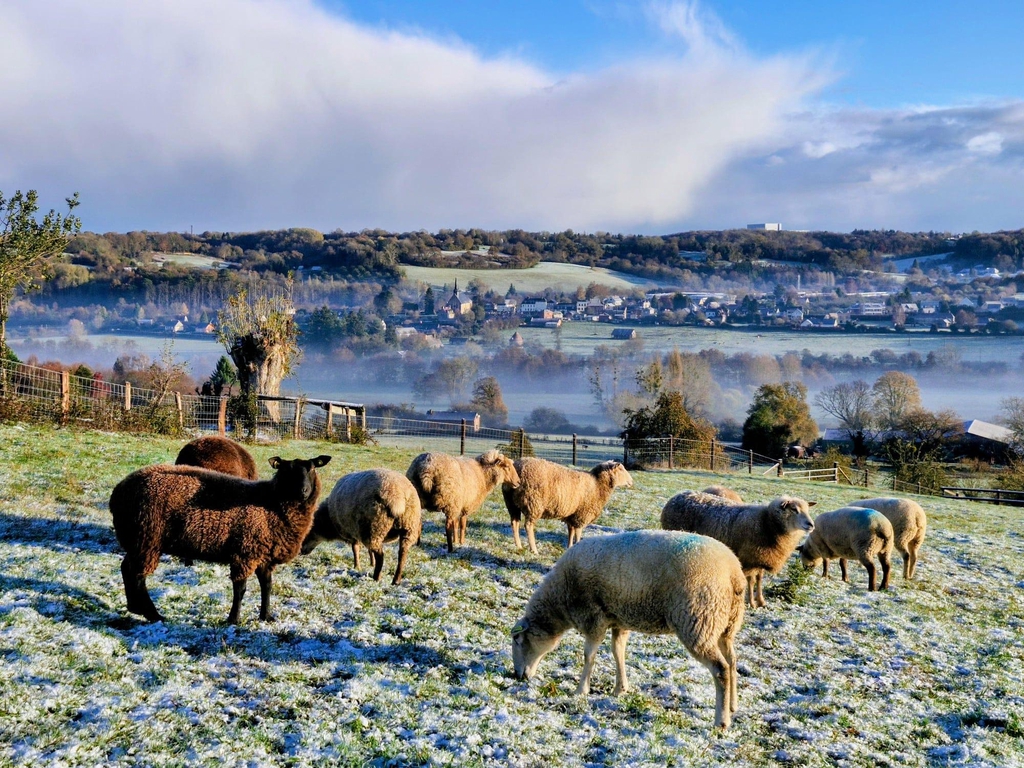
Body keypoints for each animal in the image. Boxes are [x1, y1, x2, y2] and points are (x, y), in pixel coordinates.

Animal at [109, 454, 331, 624]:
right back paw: (153, 614)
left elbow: (267, 586)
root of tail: (119, 490)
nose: (303, 491)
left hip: (138, 541)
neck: (271, 504)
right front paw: (233, 620)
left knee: (127, 569)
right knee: (138, 576)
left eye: (312, 468)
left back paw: (134, 607)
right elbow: (241, 589)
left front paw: (266, 616)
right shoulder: (244, 552)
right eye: (287, 470)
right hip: (147, 538)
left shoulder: (264, 555)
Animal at [502, 458, 633, 554]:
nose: (632, 482)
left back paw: (518, 546)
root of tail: (518, 468)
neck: (597, 484)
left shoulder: (572, 515)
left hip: (511, 504)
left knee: (514, 523)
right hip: (533, 503)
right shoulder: (582, 514)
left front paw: (569, 547)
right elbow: (578, 533)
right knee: (528, 526)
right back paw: (534, 550)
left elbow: (571, 532)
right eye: (621, 469)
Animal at [511, 529, 745, 729]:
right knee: (732, 661)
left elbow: (589, 656)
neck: (560, 597)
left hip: (698, 620)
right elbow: (618, 652)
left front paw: (581, 690)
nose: (518, 676)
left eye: (519, 641)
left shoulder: (593, 617)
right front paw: (620, 689)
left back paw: (721, 721)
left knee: (720, 669)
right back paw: (733, 705)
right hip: (725, 625)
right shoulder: (618, 620)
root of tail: (734, 573)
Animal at [660, 491, 816, 608]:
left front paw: (761, 601)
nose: (811, 525)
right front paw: (752, 603)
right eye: (794, 510)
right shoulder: (748, 559)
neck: (767, 523)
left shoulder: (760, 558)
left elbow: (759, 580)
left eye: (808, 510)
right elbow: (751, 581)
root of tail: (677, 495)